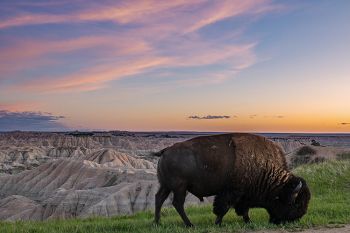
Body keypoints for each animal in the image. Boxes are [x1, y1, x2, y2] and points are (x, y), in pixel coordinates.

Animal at [154, 134, 310, 227]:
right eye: (295, 203)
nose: (295, 219)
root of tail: (165, 150)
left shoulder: (244, 195)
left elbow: (243, 209)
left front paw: (248, 221)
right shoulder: (232, 192)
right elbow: (224, 208)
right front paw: (218, 223)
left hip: (166, 186)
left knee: (159, 199)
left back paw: (157, 223)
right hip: (180, 187)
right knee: (177, 203)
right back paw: (189, 224)